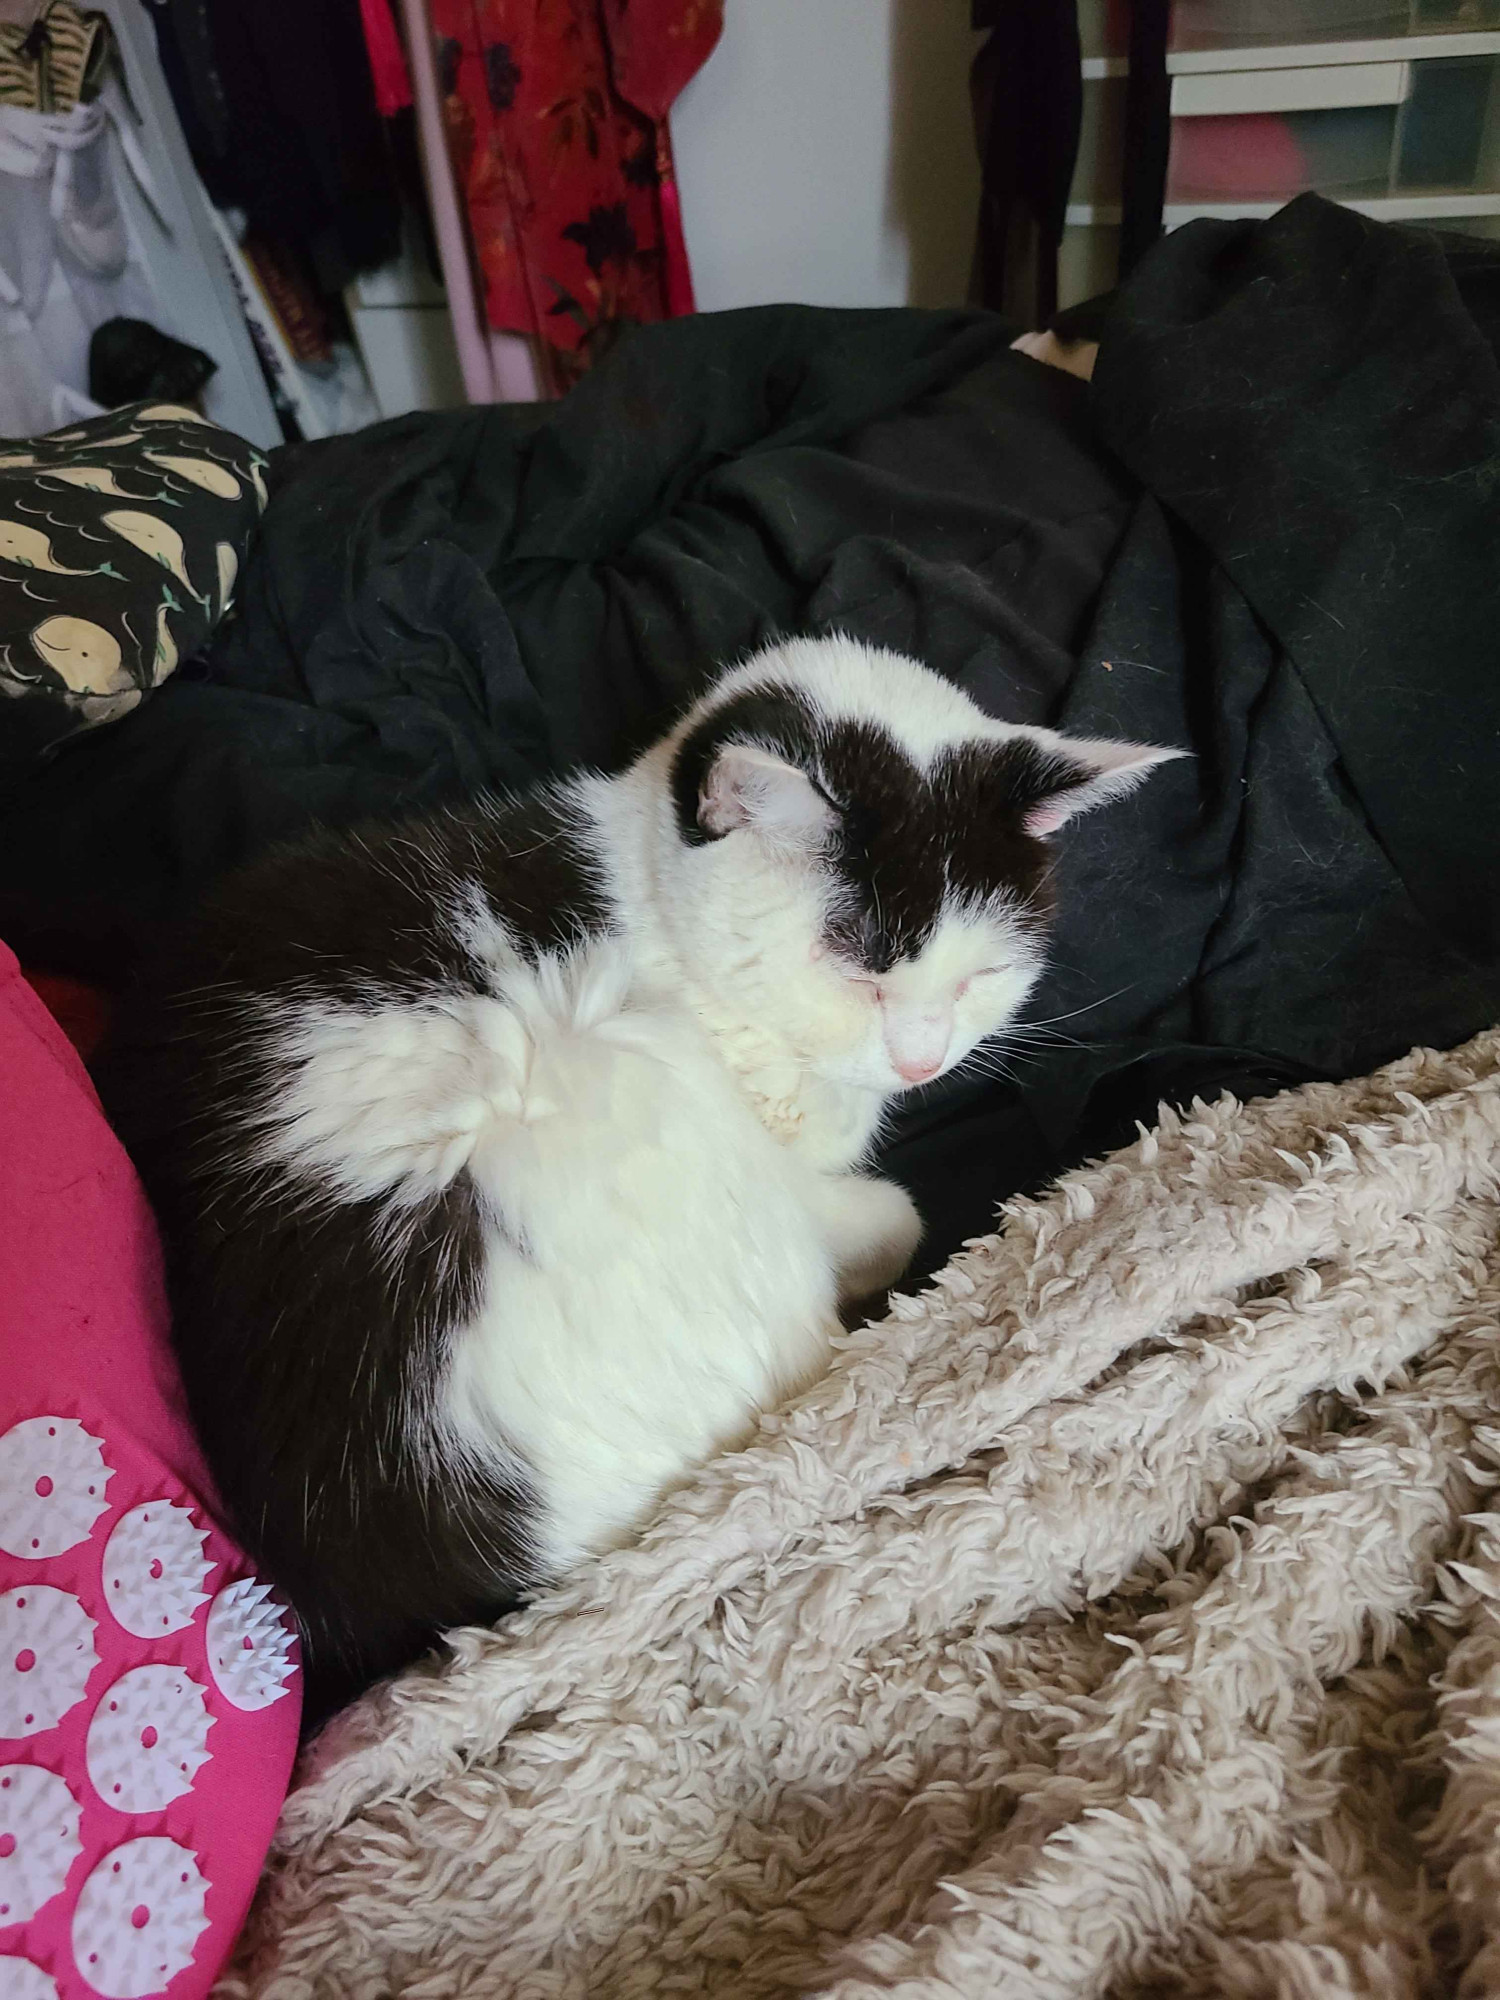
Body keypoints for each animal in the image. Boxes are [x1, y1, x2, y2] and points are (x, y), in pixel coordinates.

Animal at [106, 636, 1184, 1704]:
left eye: (980, 975)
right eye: (857, 972)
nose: (923, 1062)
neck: (647, 899)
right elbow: (892, 1211)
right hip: (619, 1071)